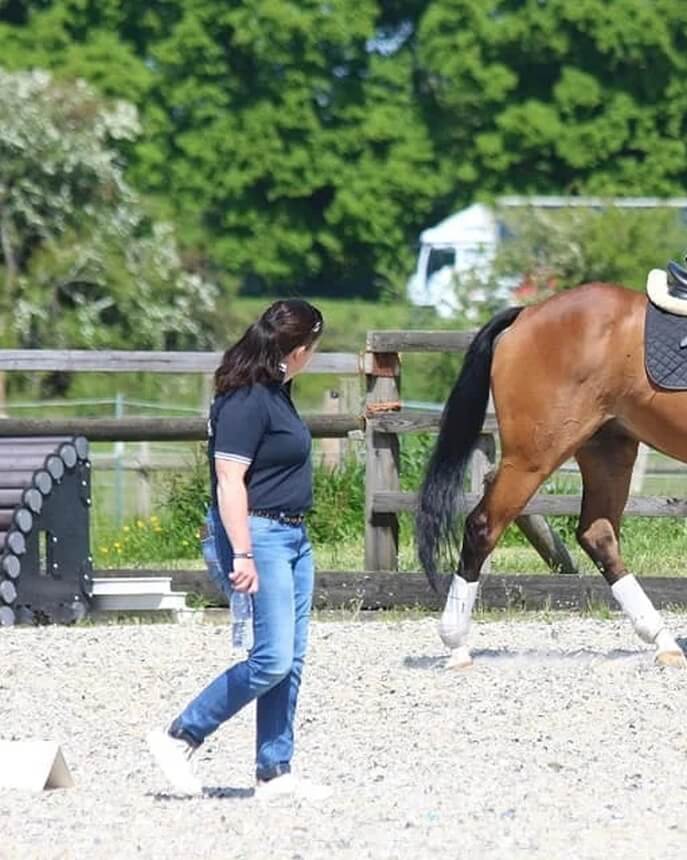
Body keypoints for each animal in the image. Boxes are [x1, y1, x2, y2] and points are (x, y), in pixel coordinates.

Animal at [416, 279, 687, 670]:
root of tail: (528, 314)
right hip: (534, 456)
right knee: (483, 525)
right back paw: (456, 645)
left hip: (607, 448)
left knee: (598, 536)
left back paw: (664, 642)